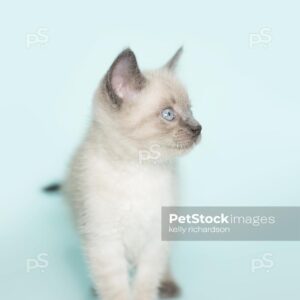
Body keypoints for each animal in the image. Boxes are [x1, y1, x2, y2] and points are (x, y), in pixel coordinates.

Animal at [64, 47, 203, 300]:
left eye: (191, 110)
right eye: (168, 114)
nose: (198, 128)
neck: (138, 169)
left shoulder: (156, 238)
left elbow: (146, 281)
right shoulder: (104, 241)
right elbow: (116, 289)